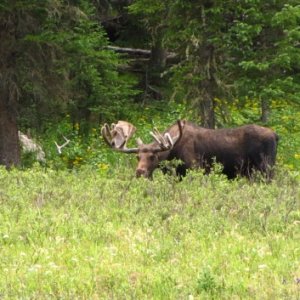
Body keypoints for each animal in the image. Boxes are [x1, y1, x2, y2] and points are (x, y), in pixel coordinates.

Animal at [101, 120, 278, 180]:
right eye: (138, 157)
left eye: (153, 156)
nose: (140, 172)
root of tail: (276, 135)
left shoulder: (195, 168)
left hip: (266, 168)